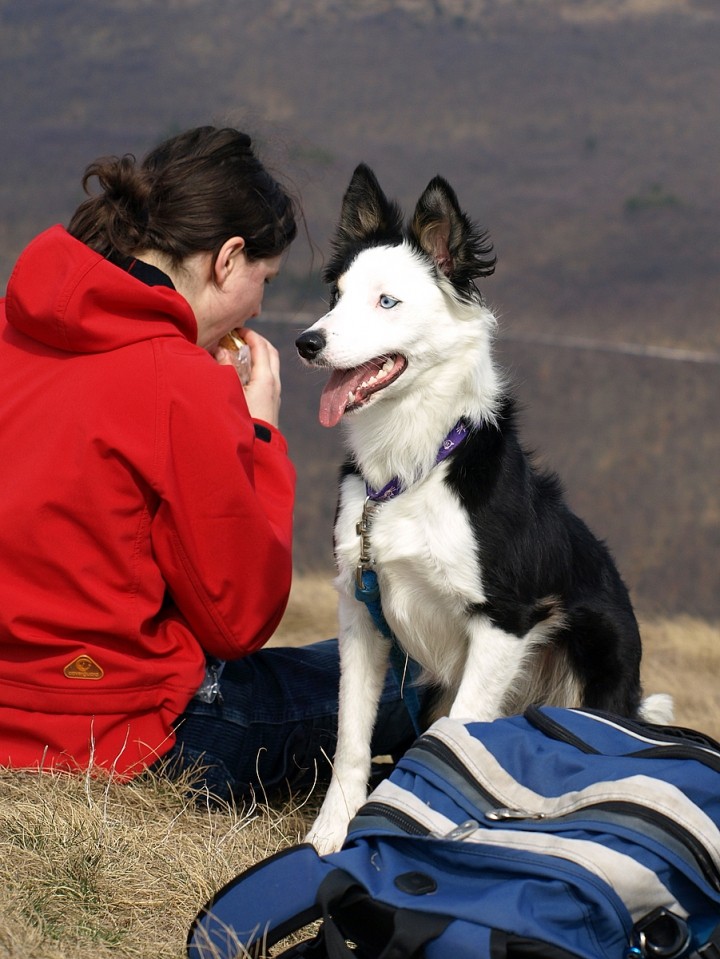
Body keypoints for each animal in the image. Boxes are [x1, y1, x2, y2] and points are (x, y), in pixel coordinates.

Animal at [292, 165, 668, 856]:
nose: (308, 342)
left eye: (387, 302)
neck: (411, 468)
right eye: (335, 293)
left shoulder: (505, 620)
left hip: (595, 655)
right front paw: (330, 834)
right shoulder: (358, 607)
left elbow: (458, 736)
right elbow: (352, 738)